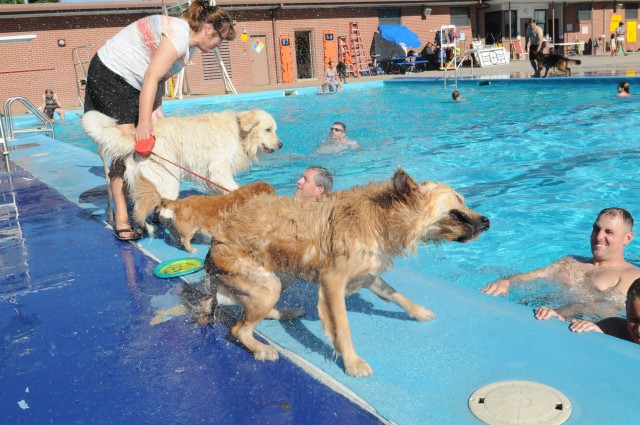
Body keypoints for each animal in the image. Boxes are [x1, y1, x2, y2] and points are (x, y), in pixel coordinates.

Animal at [81, 109, 282, 219]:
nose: (281, 145)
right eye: (268, 130)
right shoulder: (219, 169)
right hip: (168, 179)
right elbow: (233, 188)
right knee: (164, 210)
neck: (240, 133)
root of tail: (136, 140)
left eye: (274, 130)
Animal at [132, 176, 276, 252]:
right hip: (189, 229)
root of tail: (179, 202)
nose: (278, 198)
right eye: (272, 193)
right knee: (184, 239)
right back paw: (191, 249)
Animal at [208, 167, 488, 376]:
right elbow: (342, 327)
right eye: (459, 203)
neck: (382, 217)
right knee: (239, 329)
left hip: (281, 275)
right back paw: (260, 348)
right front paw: (353, 363)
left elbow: (396, 295)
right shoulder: (333, 280)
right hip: (264, 280)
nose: (487, 221)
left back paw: (286, 312)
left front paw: (419, 312)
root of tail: (216, 238)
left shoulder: (368, 274)